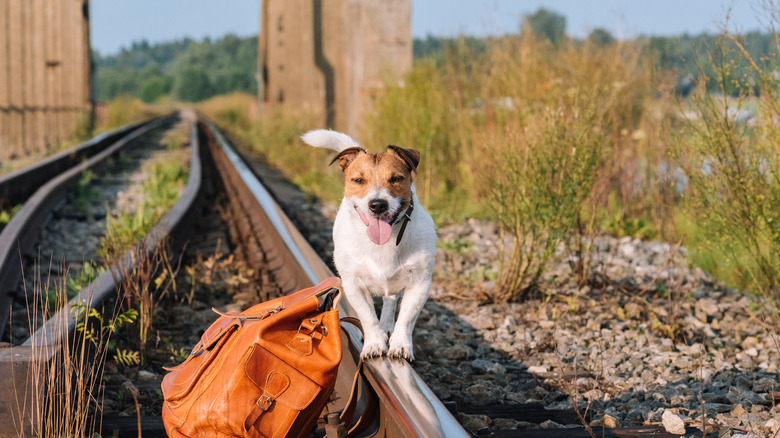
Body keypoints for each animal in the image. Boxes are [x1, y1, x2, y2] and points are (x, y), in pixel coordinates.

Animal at [298, 129, 436, 360]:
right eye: (359, 180)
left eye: (396, 178)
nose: (378, 205)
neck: (384, 244)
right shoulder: (353, 284)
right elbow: (368, 317)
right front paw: (374, 343)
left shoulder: (420, 284)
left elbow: (406, 319)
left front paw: (400, 345)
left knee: (391, 301)